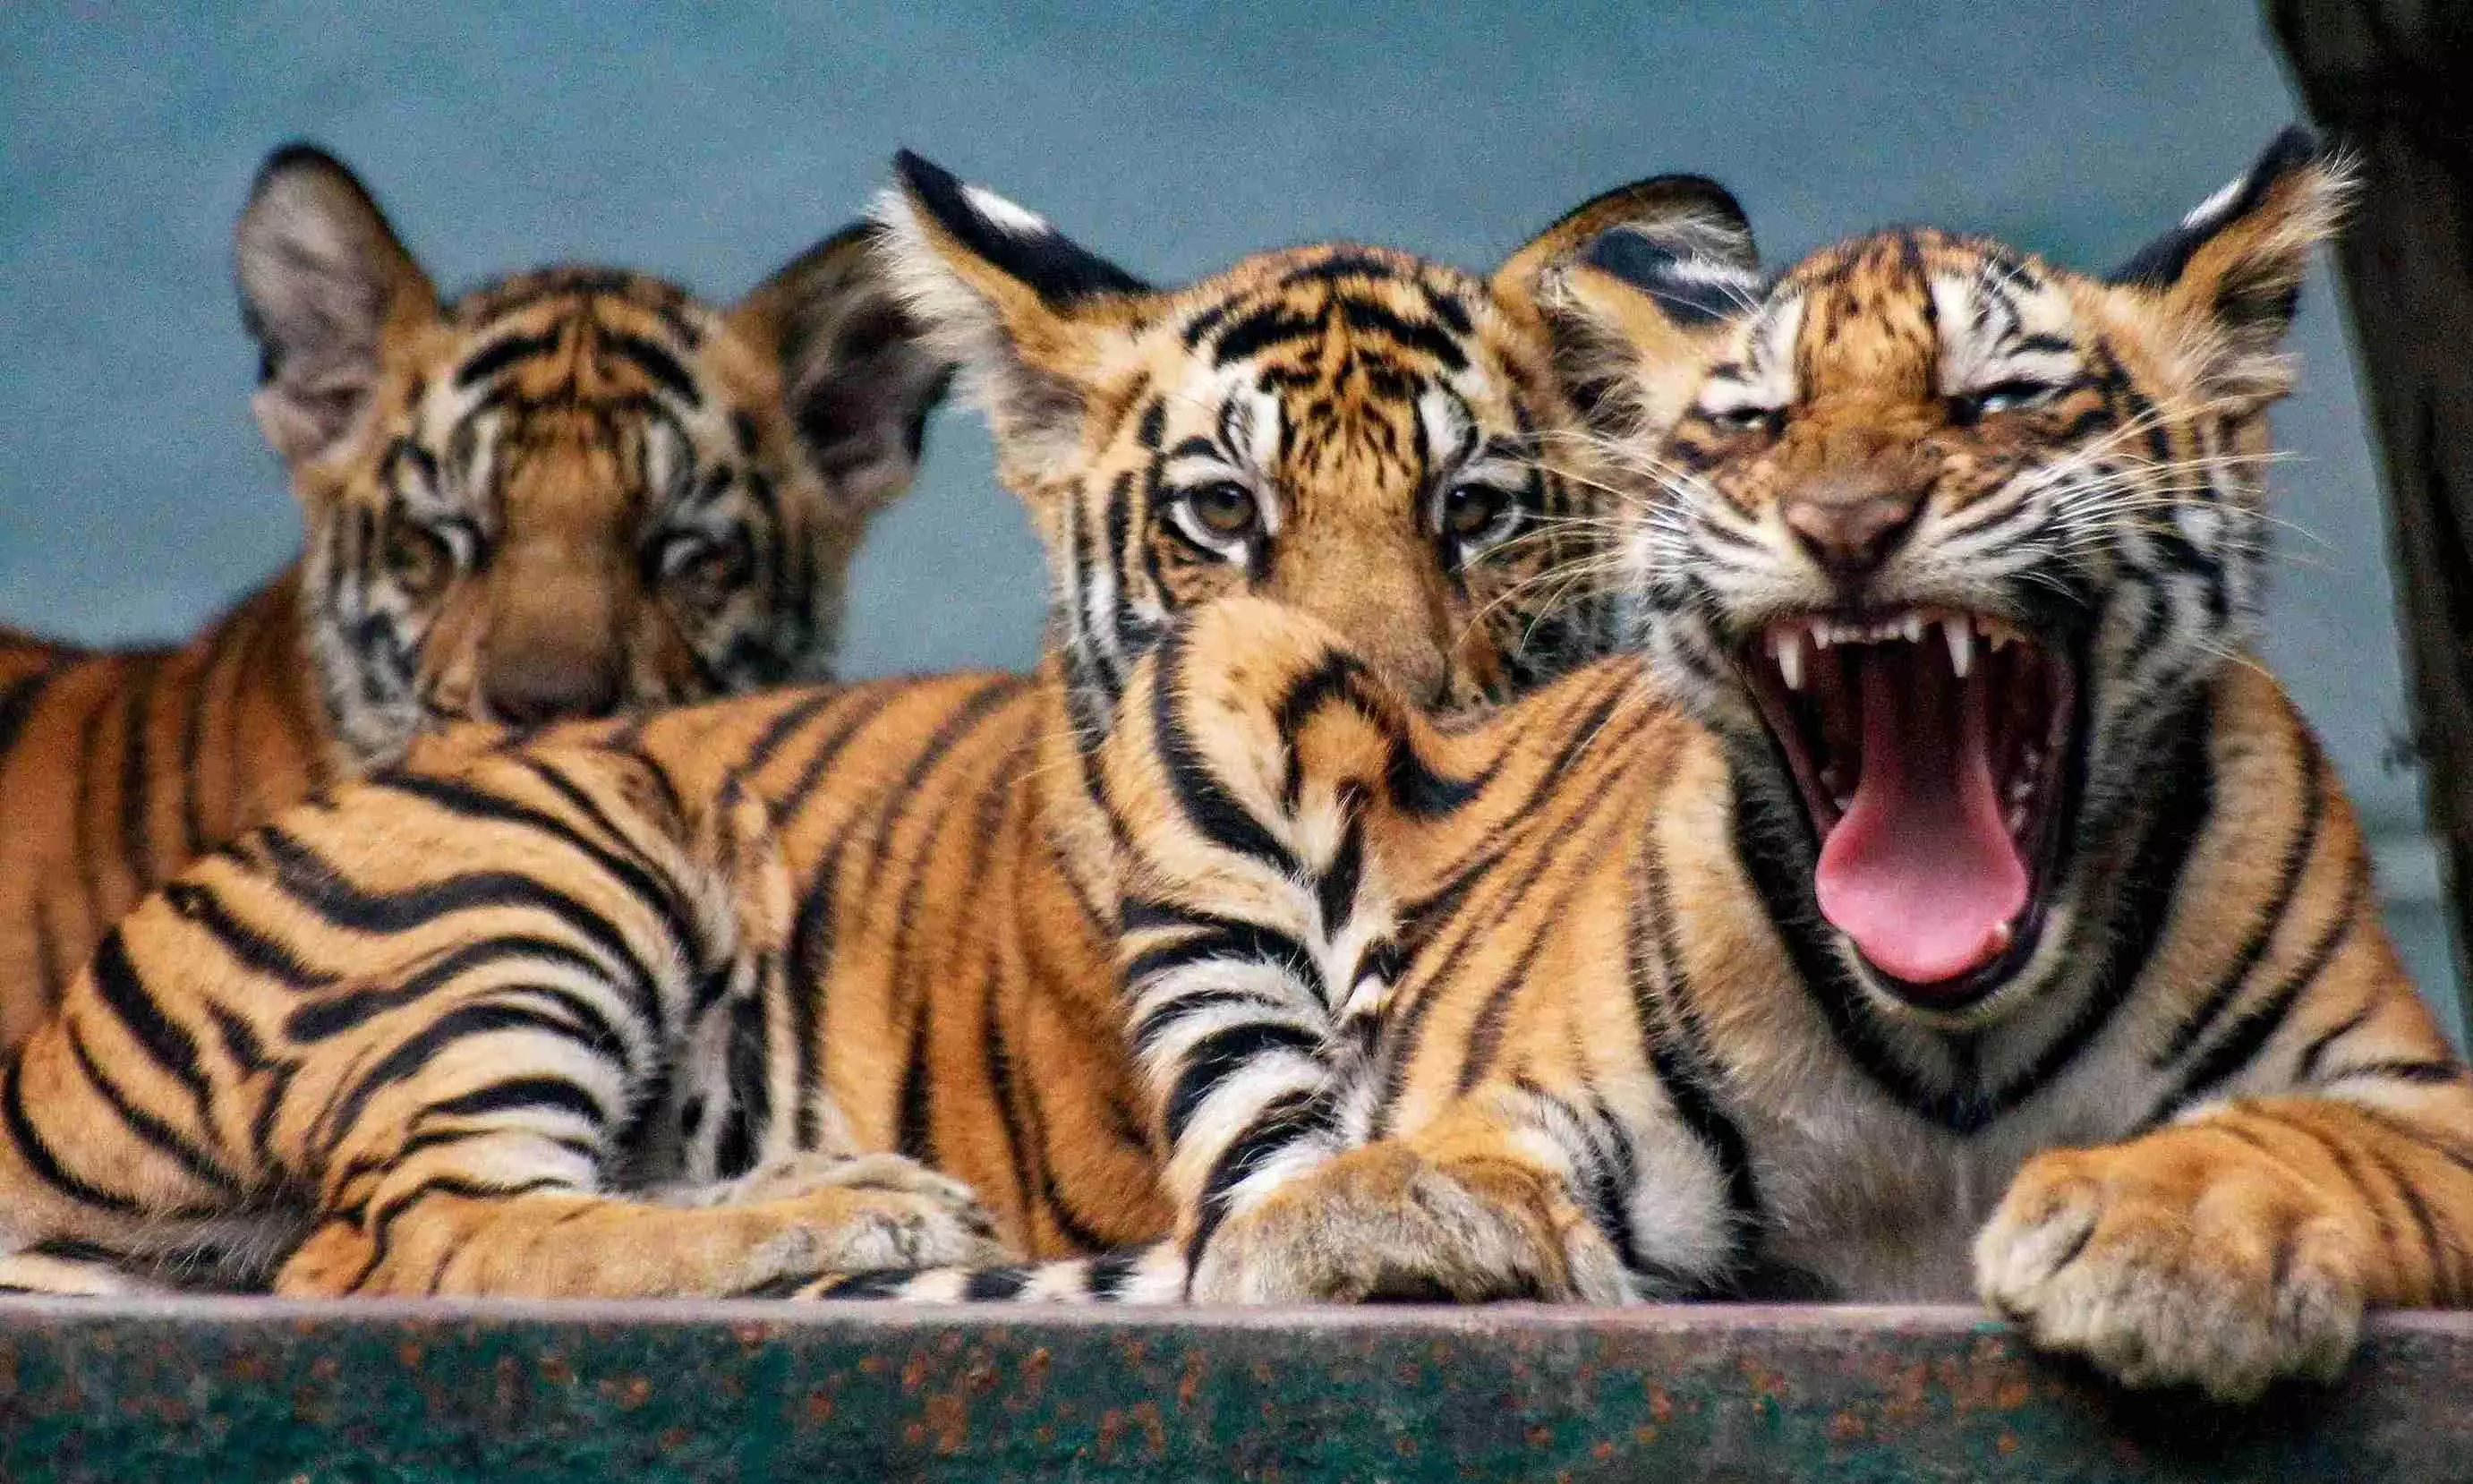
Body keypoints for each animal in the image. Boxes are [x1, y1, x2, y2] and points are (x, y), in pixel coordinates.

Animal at [780, 127, 2473, 1404]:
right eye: (1220, 511)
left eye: (1474, 509)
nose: (1846, 521)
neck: (1954, 1048)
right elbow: (1421, 1158)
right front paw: (1375, 1221)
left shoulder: (2415, 1091)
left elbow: (2300, 1134)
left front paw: (2171, 1233)